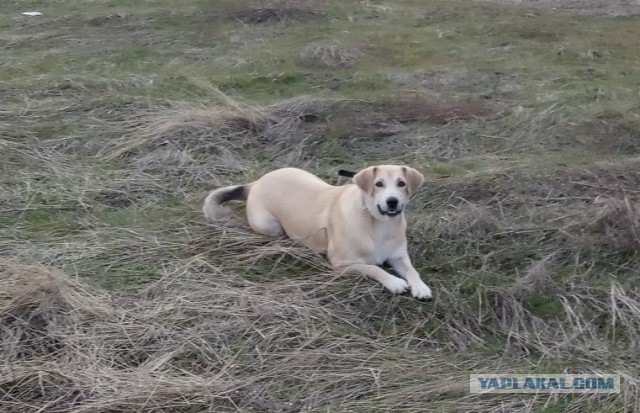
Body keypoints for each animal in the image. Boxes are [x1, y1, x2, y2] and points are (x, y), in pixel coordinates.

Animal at [204, 165, 436, 300]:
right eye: (378, 184)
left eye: (401, 183)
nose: (392, 201)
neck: (377, 223)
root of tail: (255, 183)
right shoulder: (341, 264)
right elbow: (373, 268)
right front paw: (394, 282)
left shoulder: (398, 256)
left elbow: (412, 270)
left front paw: (420, 287)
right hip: (269, 224)